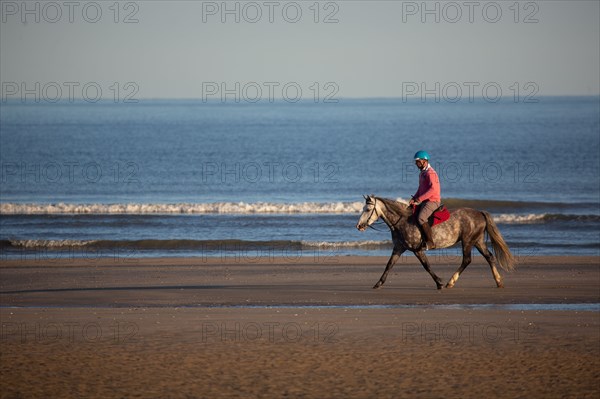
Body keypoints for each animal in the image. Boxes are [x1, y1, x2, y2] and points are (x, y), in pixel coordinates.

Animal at [356, 196, 516, 290]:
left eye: (368, 209)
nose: (359, 226)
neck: (401, 221)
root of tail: (480, 213)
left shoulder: (417, 249)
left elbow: (426, 265)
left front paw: (439, 282)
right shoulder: (399, 248)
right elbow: (389, 264)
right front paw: (378, 283)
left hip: (468, 241)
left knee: (467, 260)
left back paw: (451, 282)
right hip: (477, 241)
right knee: (489, 257)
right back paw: (498, 281)